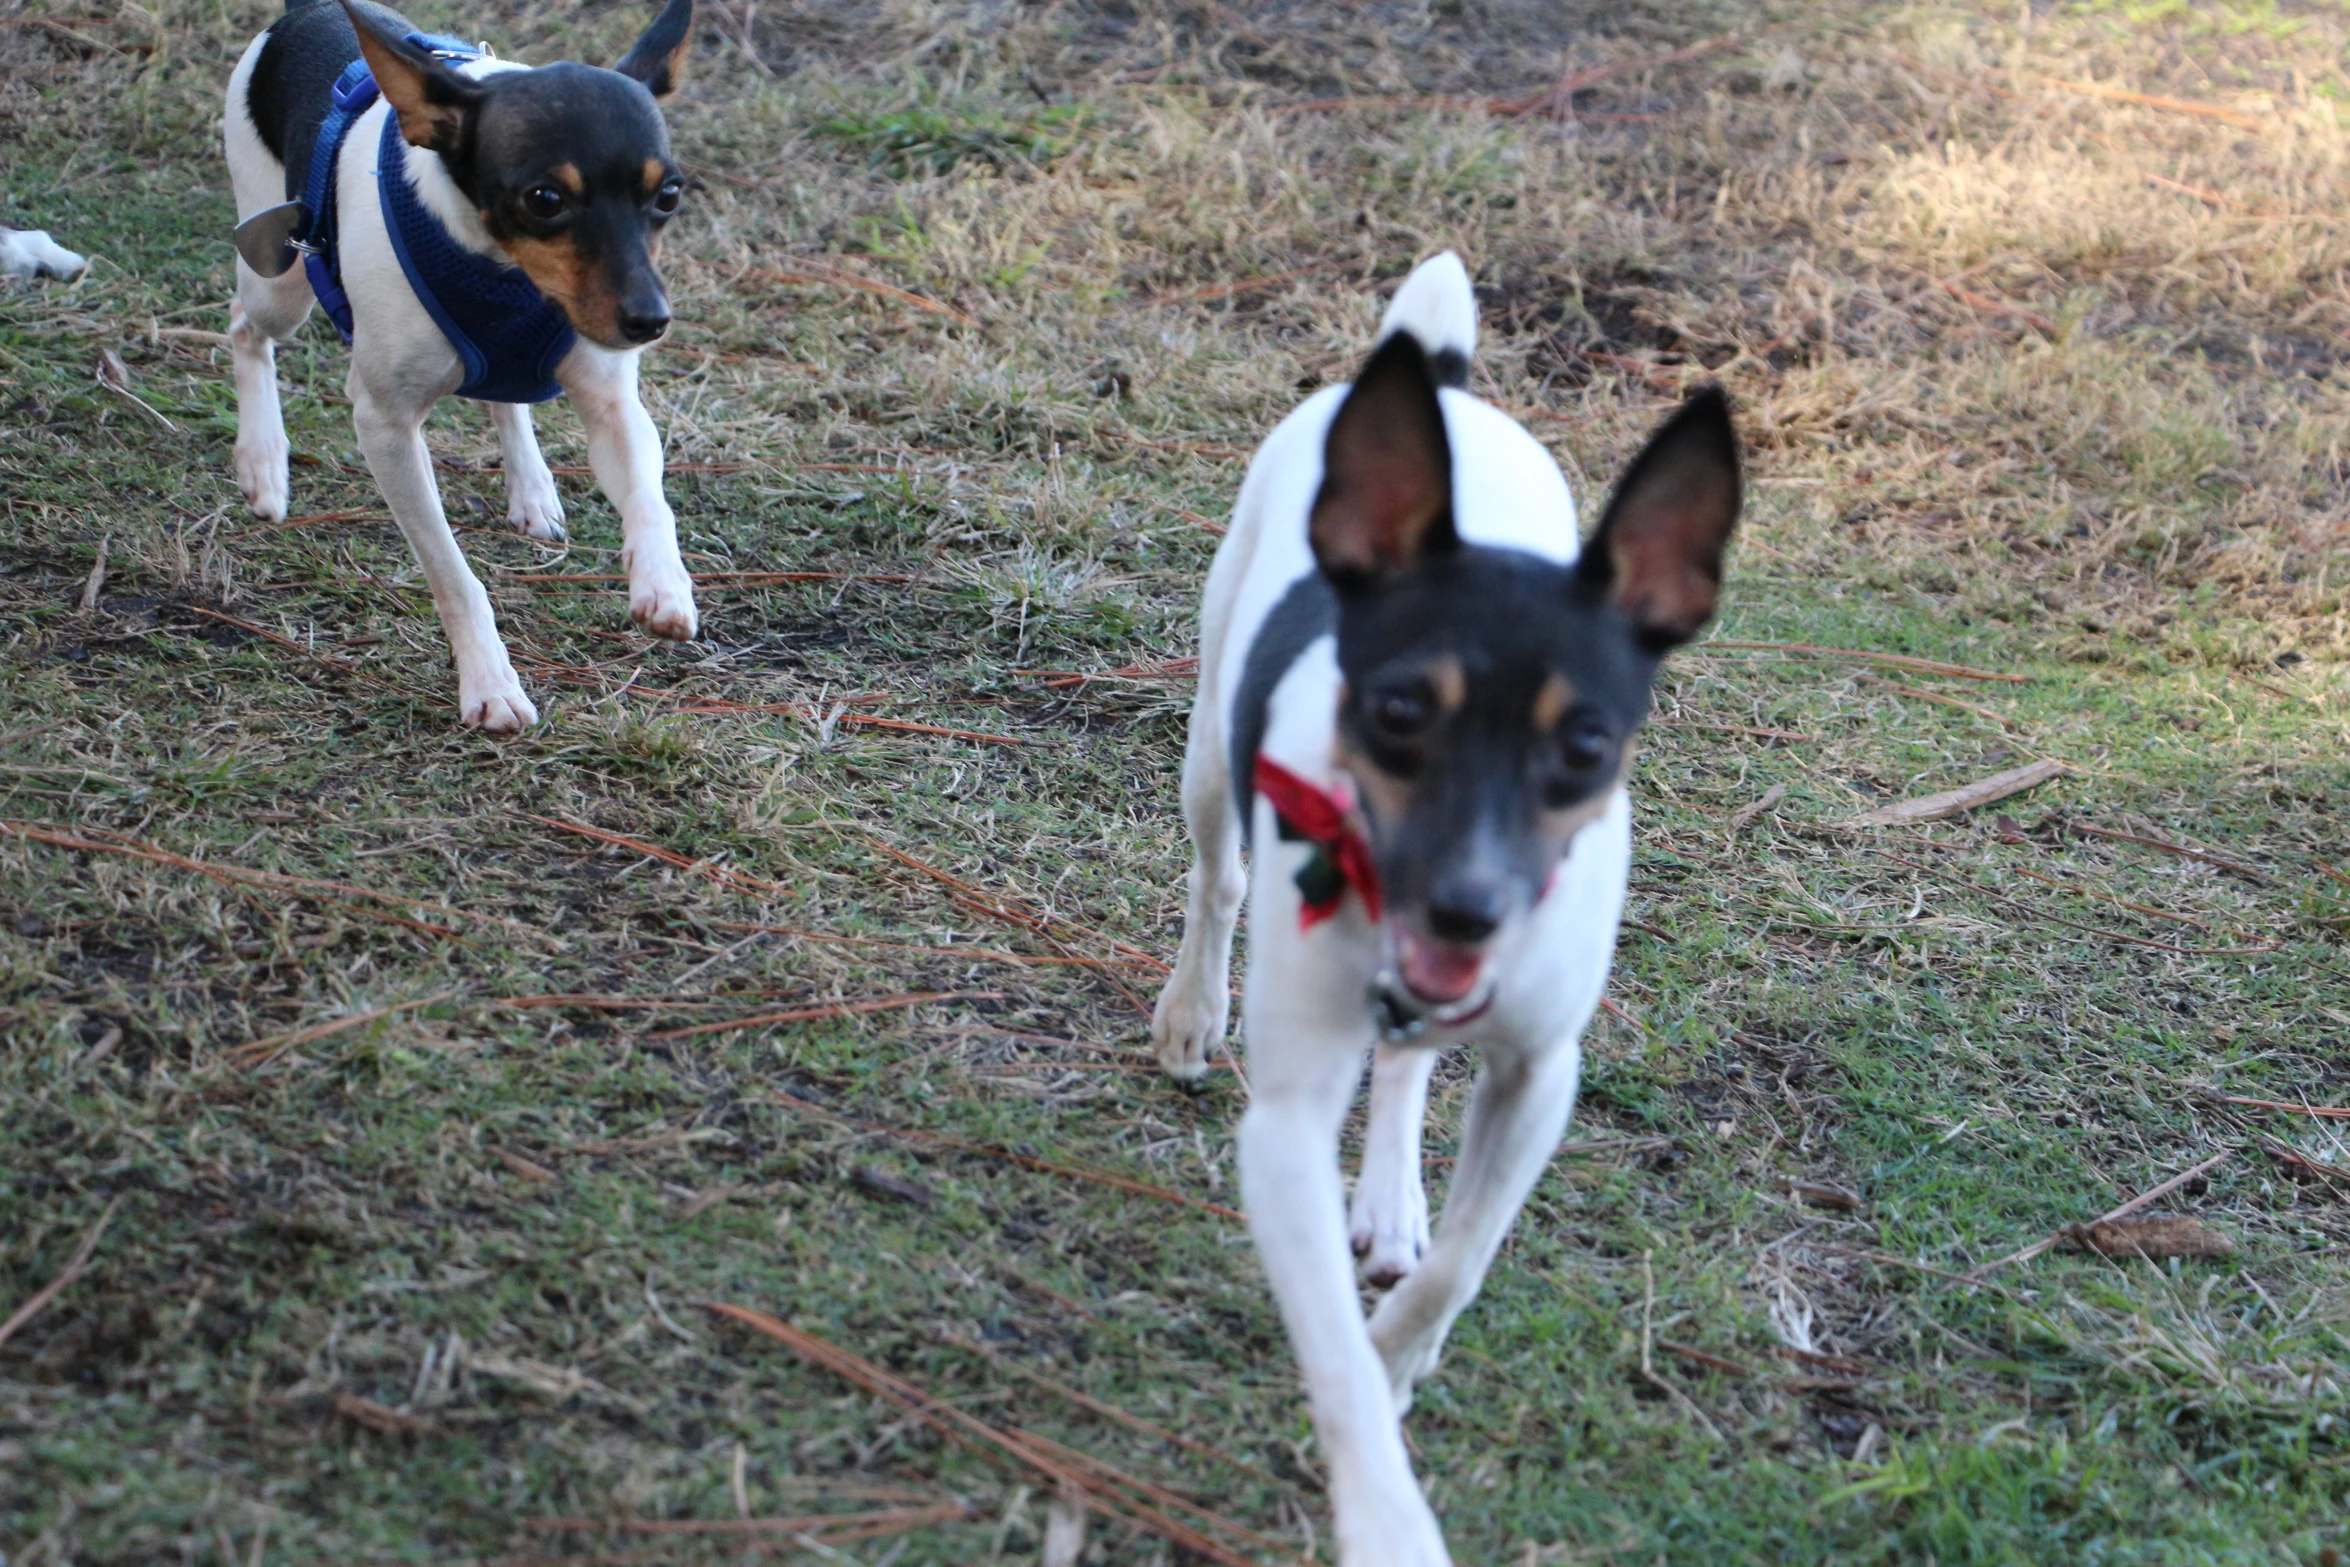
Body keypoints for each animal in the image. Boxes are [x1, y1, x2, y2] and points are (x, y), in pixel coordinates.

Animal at [223, 0, 700, 732]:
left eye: (669, 194)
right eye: (545, 199)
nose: (650, 321)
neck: (504, 272)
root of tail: (304, 12)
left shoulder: (614, 406)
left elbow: (652, 502)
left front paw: (663, 583)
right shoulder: (385, 428)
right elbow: (453, 573)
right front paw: (489, 681)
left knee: (504, 393)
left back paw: (532, 488)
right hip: (280, 280)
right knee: (245, 329)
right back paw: (263, 460)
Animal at [1146, 251, 1738, 1559]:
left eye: (1585, 744)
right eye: (1401, 711)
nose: (1468, 911)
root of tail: (1445, 385)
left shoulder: (1538, 1074)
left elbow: (1462, 1263)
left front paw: (1399, 1349)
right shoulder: (1285, 1126)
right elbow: (1331, 1350)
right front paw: (1383, 1503)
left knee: (1412, 1065)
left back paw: (1392, 1194)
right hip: (1211, 750)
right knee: (1217, 878)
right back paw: (1190, 1010)